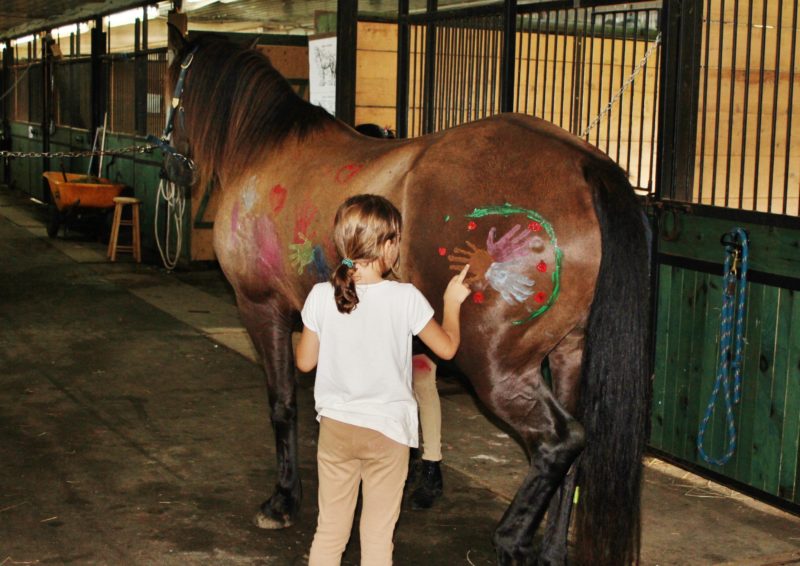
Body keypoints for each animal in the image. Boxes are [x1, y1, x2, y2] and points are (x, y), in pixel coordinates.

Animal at [167, 31, 648, 566]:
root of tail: (584, 163)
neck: (264, 152)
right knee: (580, 449)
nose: (169, 164)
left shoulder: (261, 308)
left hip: (498, 367)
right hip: (569, 353)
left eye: (171, 85)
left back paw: (510, 538)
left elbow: (283, 404)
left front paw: (283, 499)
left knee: (561, 441)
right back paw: (548, 551)